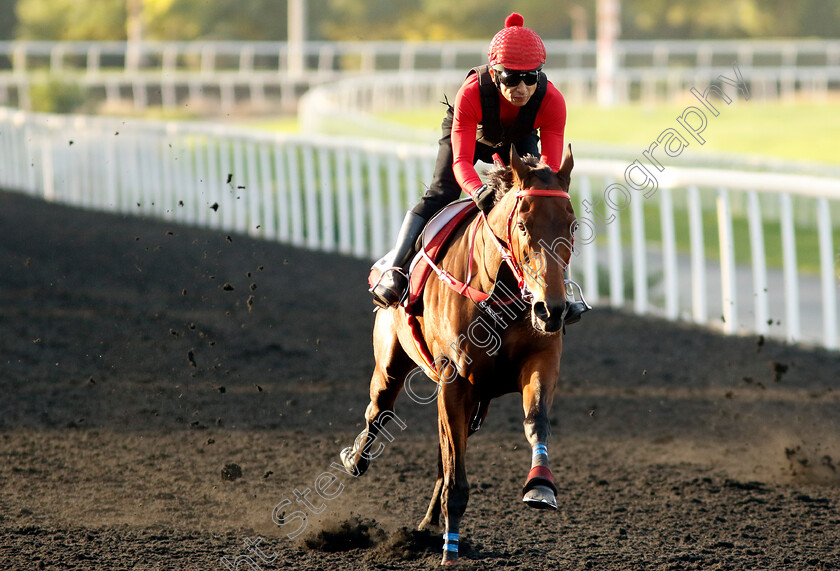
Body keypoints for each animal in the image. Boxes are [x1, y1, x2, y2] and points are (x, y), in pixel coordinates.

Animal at [342, 145, 576, 564]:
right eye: (523, 225)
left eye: (573, 225)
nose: (553, 309)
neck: (500, 292)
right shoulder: (454, 381)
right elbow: (456, 473)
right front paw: (450, 550)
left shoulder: (541, 360)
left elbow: (536, 421)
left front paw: (540, 486)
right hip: (391, 362)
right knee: (379, 411)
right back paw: (356, 459)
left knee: (444, 451)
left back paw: (428, 523)